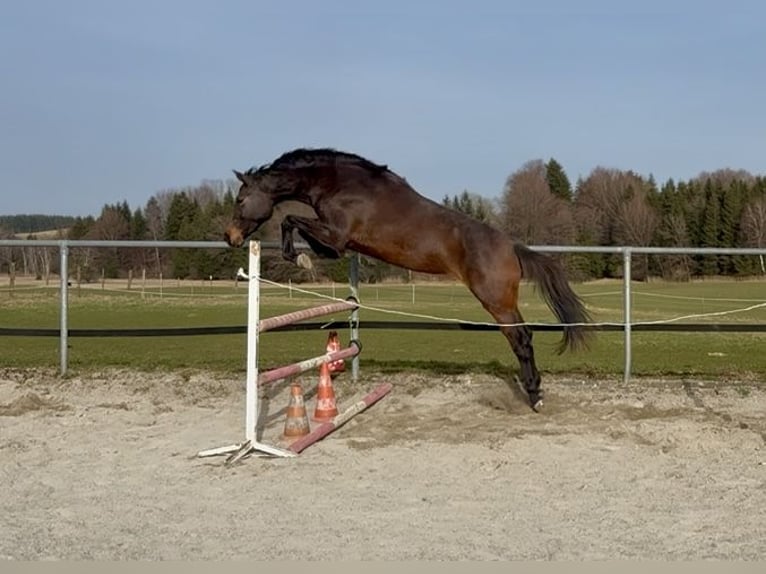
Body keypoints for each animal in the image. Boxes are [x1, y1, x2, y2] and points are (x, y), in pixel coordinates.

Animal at [224, 147, 591, 410]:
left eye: (241, 199)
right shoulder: (337, 245)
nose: (230, 237)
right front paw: (302, 258)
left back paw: (535, 395)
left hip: (496, 301)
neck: (338, 185)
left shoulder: (336, 236)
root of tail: (511, 246)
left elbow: (291, 221)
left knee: (522, 339)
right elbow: (303, 232)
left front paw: (296, 256)